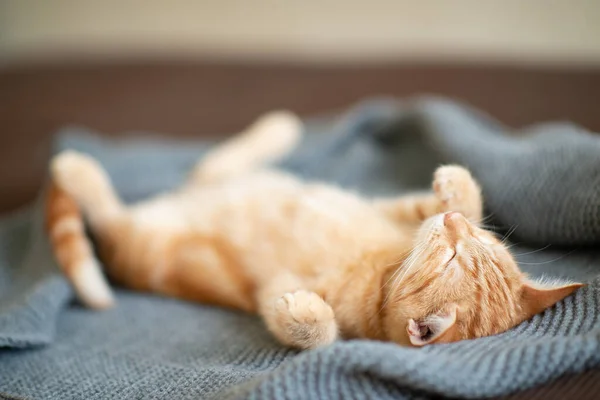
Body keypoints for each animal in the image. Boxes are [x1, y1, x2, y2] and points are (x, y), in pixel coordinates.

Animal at [45, 111, 580, 348]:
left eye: (451, 256)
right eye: (474, 242)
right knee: (212, 166)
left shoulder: (272, 290)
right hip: (219, 183)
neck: (386, 266)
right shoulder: (395, 209)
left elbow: (320, 335)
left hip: (144, 248)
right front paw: (455, 185)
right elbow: (459, 198)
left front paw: (304, 313)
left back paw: (75, 168)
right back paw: (278, 129)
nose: (452, 224)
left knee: (110, 221)